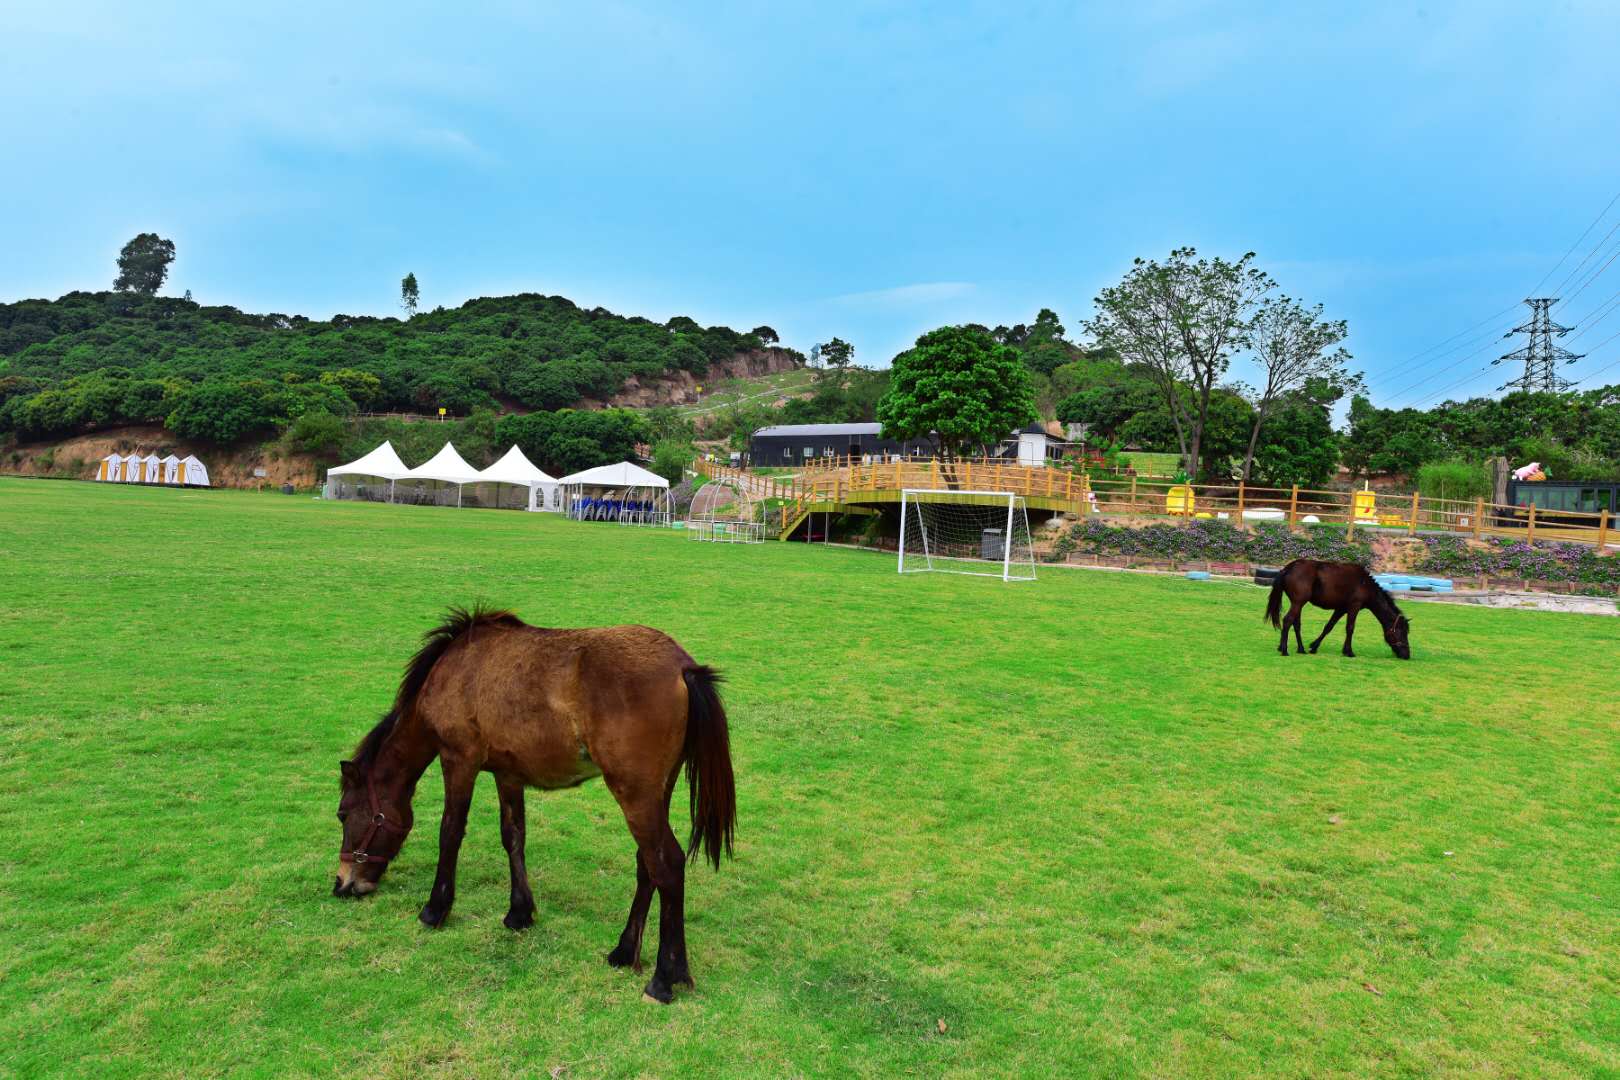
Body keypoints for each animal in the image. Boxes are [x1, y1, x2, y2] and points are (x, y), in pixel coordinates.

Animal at [332, 608, 738, 1003]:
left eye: (343, 814)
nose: (342, 883)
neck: (455, 669)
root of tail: (683, 666)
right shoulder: (507, 773)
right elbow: (513, 835)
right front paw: (519, 912)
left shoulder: (458, 760)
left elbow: (450, 832)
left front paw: (435, 910)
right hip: (657, 792)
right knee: (647, 864)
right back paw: (625, 953)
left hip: (635, 794)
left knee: (666, 864)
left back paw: (663, 979)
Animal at [1257, 563, 1412, 663]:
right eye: (1402, 632)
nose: (1407, 655)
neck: (1366, 585)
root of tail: (1287, 568)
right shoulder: (1354, 607)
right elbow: (1350, 628)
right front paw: (1349, 651)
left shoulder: (1341, 609)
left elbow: (1329, 627)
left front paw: (1314, 646)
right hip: (1298, 603)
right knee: (1288, 621)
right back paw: (1284, 650)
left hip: (1298, 604)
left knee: (1296, 624)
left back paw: (1300, 649)